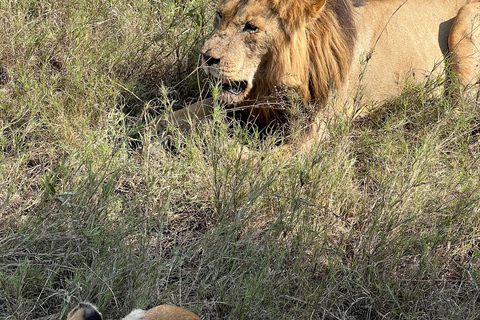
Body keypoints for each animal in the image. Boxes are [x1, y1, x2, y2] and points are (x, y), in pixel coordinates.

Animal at [160, 0, 480, 151]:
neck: (271, 78)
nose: (206, 57)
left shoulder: (313, 132)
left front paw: (217, 148)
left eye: (251, 27)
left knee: (455, 116)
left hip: (464, 28)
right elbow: (167, 119)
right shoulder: (243, 102)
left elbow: (251, 161)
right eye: (219, 15)